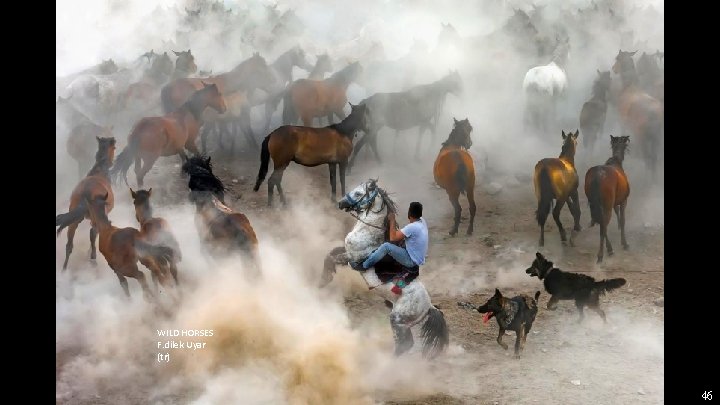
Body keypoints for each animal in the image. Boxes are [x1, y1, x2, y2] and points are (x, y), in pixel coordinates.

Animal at [56, 137, 115, 272]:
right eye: (114, 147)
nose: (112, 163)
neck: (100, 170)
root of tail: (85, 191)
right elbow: (94, 234)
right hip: (94, 218)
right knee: (92, 234)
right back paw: (93, 259)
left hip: (73, 221)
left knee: (69, 245)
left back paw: (64, 271)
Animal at [322, 177, 450, 356]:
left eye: (358, 193)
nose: (341, 203)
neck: (368, 231)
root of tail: (429, 306)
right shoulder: (347, 253)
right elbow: (332, 253)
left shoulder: (353, 259)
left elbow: (330, 257)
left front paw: (324, 280)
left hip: (397, 320)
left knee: (405, 344)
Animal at [584, 134, 632, 264]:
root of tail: (597, 176)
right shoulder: (623, 201)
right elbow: (623, 220)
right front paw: (624, 243)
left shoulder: (614, 203)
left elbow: (617, 215)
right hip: (607, 205)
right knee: (603, 225)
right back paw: (601, 254)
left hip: (595, 204)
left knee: (602, 223)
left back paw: (609, 249)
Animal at [612, 49, 664, 179]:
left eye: (617, 58)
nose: (613, 69)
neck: (630, 88)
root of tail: (653, 114)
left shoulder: (622, 122)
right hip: (657, 137)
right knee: (654, 157)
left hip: (643, 137)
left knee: (648, 158)